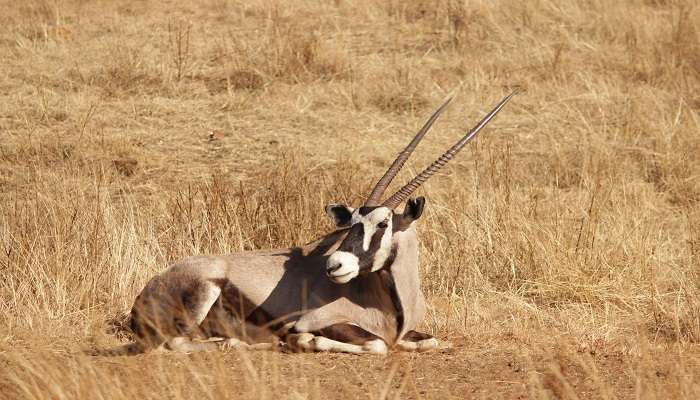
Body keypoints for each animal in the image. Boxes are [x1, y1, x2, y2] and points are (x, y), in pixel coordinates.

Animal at [119, 90, 516, 354]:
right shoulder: (321, 321)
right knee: (178, 342)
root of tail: (148, 288)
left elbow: (429, 341)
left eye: (382, 224)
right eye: (352, 221)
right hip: (203, 294)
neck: (390, 301)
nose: (334, 265)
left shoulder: (416, 334)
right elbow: (376, 345)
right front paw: (303, 341)